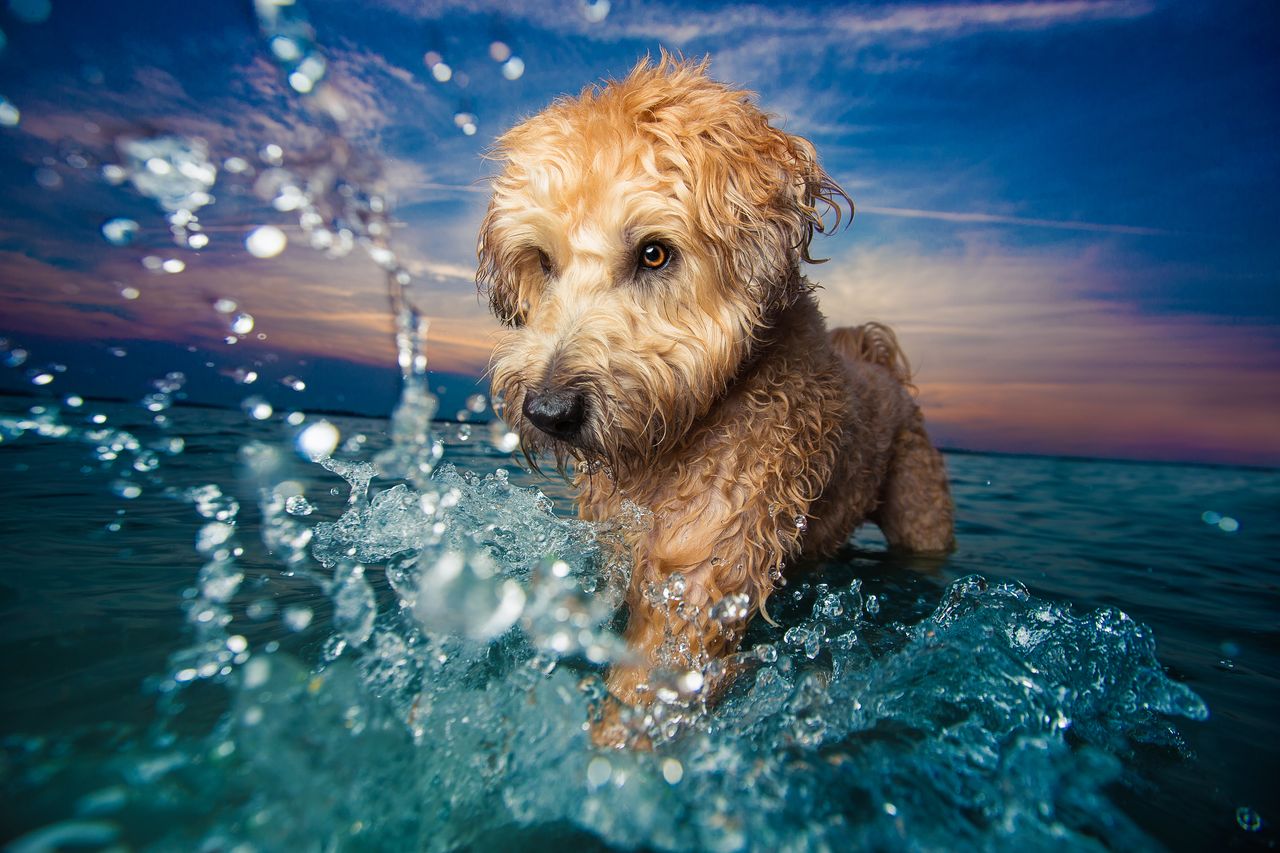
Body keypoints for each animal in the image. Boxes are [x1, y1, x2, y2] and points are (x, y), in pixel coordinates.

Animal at [478, 53, 952, 742]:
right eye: (542, 259)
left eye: (654, 253)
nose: (549, 412)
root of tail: (877, 360)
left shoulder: (705, 571)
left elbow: (654, 680)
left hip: (921, 506)